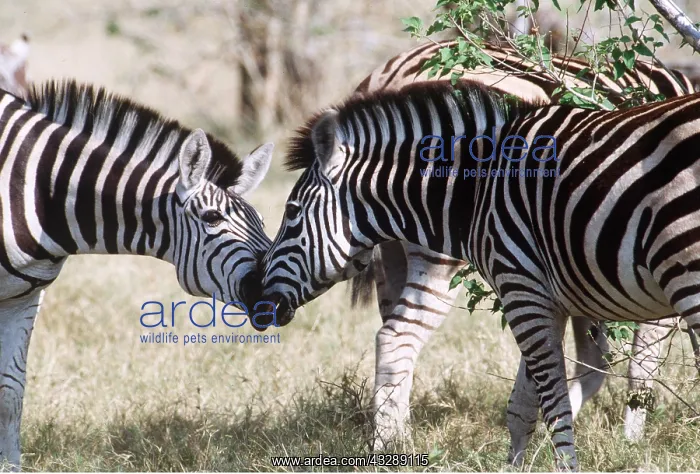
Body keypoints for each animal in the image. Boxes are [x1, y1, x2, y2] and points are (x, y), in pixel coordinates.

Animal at [0, 79, 273, 469]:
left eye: (262, 222)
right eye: (212, 218)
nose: (278, 295)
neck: (39, 192)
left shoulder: (24, 296)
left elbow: (11, 390)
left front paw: (10, 467)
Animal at [260, 81, 700, 469]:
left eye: (292, 213)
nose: (256, 295)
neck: (478, 190)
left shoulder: (520, 288)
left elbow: (553, 404)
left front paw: (565, 466)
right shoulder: (543, 296)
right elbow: (523, 408)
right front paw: (515, 468)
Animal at [348, 40, 700, 448]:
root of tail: (388, 76)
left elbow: (592, 360)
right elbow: (639, 364)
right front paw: (631, 440)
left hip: (390, 255)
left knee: (394, 337)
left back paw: (399, 435)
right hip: (438, 255)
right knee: (397, 337)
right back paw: (392, 444)